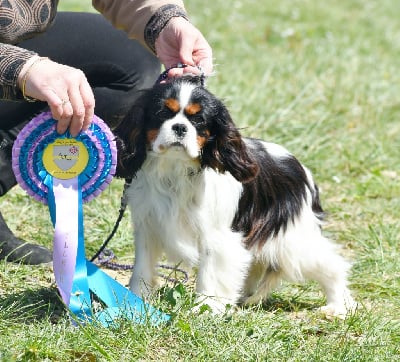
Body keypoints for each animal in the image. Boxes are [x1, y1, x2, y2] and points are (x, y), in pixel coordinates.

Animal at [115, 75, 356, 316]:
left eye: (199, 120)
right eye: (162, 113)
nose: (180, 127)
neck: (176, 170)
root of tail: (303, 170)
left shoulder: (217, 237)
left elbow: (210, 275)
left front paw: (205, 307)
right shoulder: (148, 228)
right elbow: (142, 268)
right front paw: (134, 301)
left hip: (293, 241)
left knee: (332, 265)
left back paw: (337, 306)